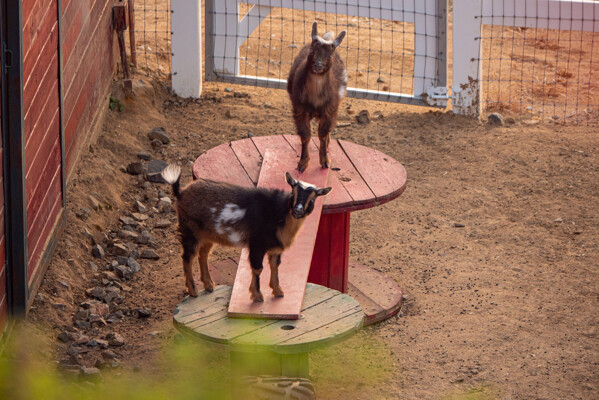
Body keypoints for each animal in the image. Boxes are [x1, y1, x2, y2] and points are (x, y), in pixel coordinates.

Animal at [161, 164, 332, 302]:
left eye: (312, 199)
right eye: (293, 193)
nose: (297, 211)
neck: (278, 213)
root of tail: (181, 192)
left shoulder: (275, 249)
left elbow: (275, 266)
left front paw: (278, 291)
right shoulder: (257, 243)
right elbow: (258, 268)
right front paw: (257, 296)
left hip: (208, 234)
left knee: (203, 254)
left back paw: (209, 285)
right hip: (189, 230)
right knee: (187, 257)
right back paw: (193, 290)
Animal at [287, 22, 347, 172]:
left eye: (330, 55)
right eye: (311, 50)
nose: (318, 66)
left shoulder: (329, 110)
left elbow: (323, 135)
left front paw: (325, 161)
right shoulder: (299, 111)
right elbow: (305, 136)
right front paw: (302, 164)